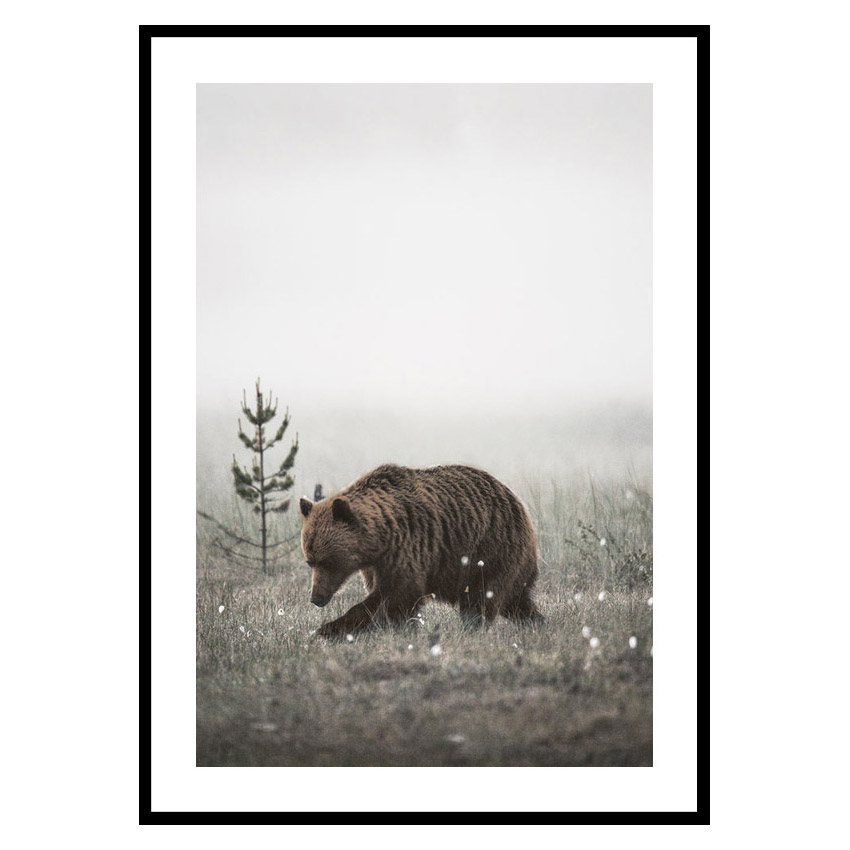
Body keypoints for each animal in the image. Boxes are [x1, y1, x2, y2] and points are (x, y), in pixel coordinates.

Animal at [299, 463, 542, 638]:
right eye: (310, 561)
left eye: (329, 561)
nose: (316, 597)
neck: (379, 540)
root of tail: (518, 502)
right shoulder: (375, 565)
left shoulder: (406, 547)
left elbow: (396, 595)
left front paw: (327, 629)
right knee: (516, 601)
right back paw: (537, 623)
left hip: (491, 551)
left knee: (481, 599)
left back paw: (471, 630)